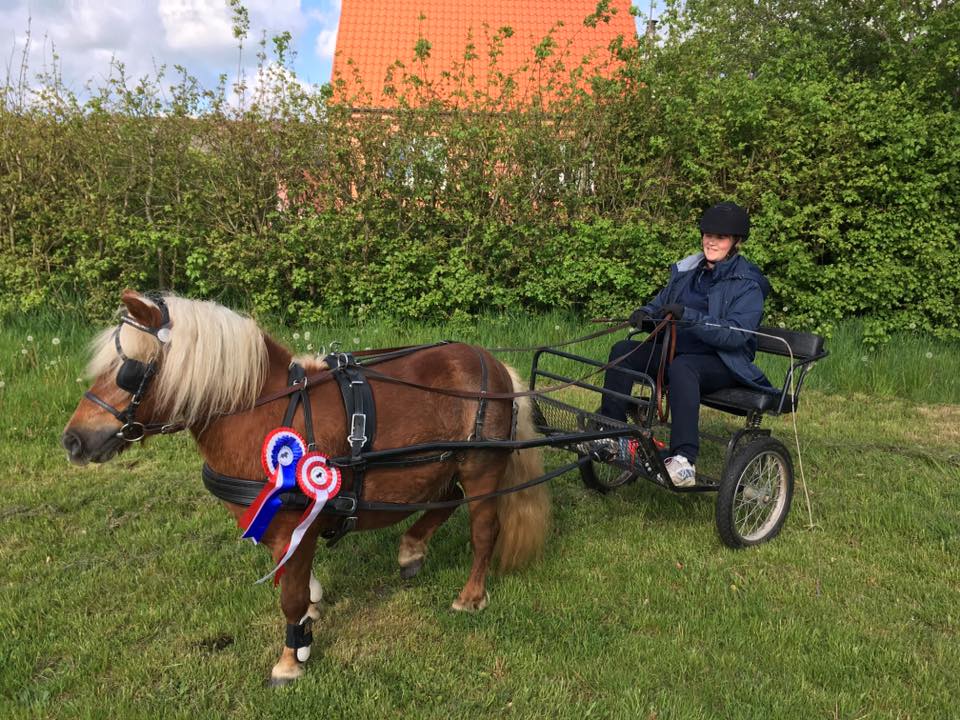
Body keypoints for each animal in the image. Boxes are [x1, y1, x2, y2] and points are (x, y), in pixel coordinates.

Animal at [62, 290, 548, 684]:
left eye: (128, 371)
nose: (73, 440)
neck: (258, 411)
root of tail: (494, 364)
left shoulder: (296, 518)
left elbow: (290, 596)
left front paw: (291, 657)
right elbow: (293, 574)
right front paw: (313, 607)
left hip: (481, 467)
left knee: (483, 530)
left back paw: (471, 596)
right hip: (442, 465)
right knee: (446, 500)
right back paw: (411, 548)